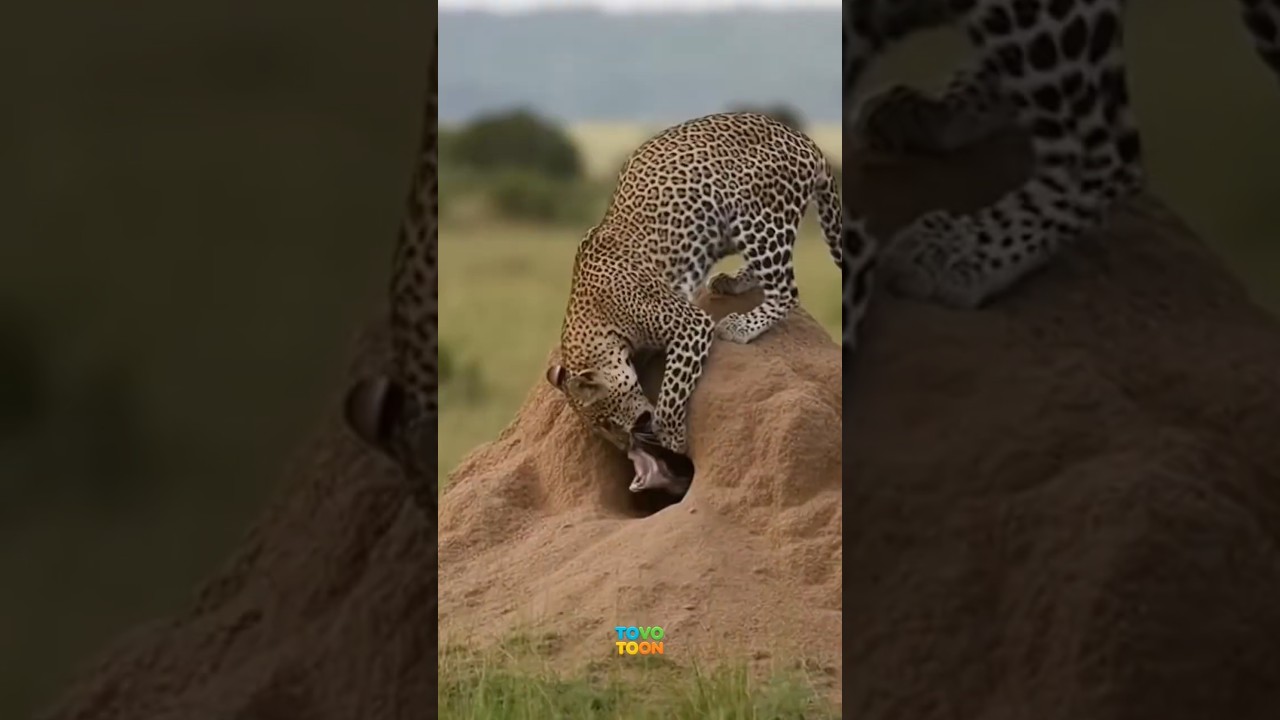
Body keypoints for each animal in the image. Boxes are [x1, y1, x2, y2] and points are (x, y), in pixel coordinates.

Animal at [544, 112, 843, 496]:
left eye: (607, 422)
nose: (625, 447)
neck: (596, 320)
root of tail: (805, 140)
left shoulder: (690, 325)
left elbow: (673, 391)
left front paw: (671, 437)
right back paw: (732, 281)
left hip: (757, 218)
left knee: (785, 290)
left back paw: (742, 325)